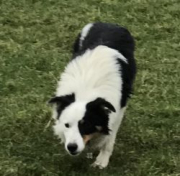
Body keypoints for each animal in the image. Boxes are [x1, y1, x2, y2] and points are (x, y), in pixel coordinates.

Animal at [48, 22, 136, 169]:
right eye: (67, 125)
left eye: (86, 125)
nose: (71, 147)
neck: (85, 92)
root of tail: (108, 23)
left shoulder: (118, 112)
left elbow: (108, 140)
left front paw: (102, 160)